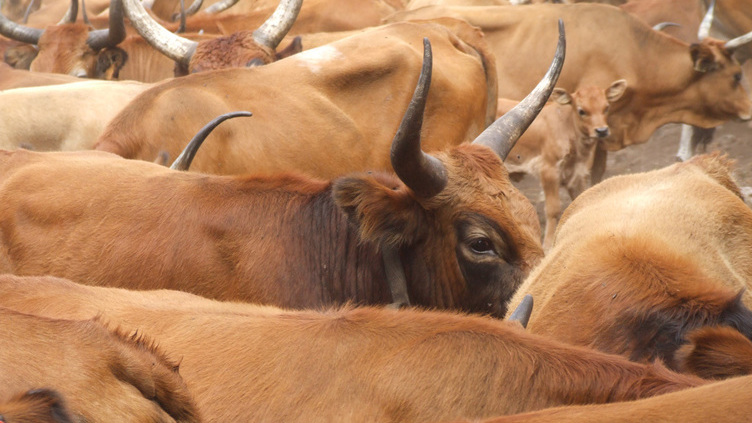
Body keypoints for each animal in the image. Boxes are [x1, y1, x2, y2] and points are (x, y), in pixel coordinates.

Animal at [499, 79, 627, 250]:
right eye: (581, 111)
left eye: (606, 107)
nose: (601, 130)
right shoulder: (549, 170)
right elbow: (553, 209)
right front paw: (547, 244)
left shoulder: (578, 174)